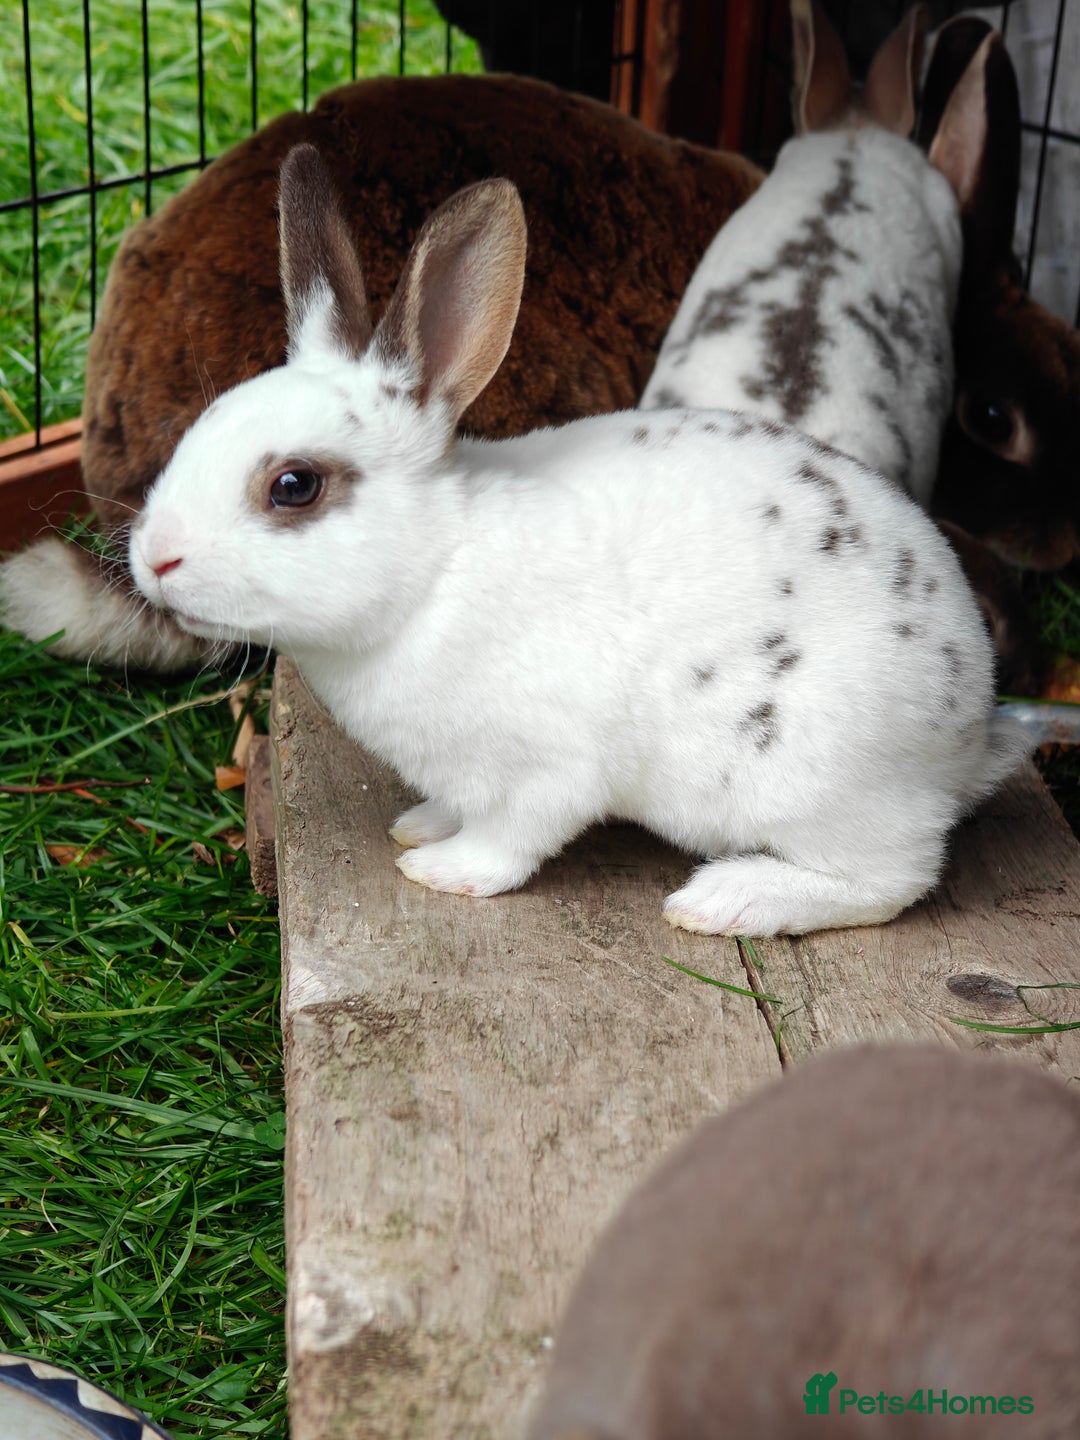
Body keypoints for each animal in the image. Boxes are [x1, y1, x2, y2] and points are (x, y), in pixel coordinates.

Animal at [127, 143, 1026, 938]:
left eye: (294, 486)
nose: (152, 559)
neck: (436, 567)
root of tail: (967, 732)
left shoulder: (547, 769)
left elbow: (511, 840)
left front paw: (441, 870)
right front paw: (420, 824)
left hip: (820, 783)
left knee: (893, 880)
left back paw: (726, 901)